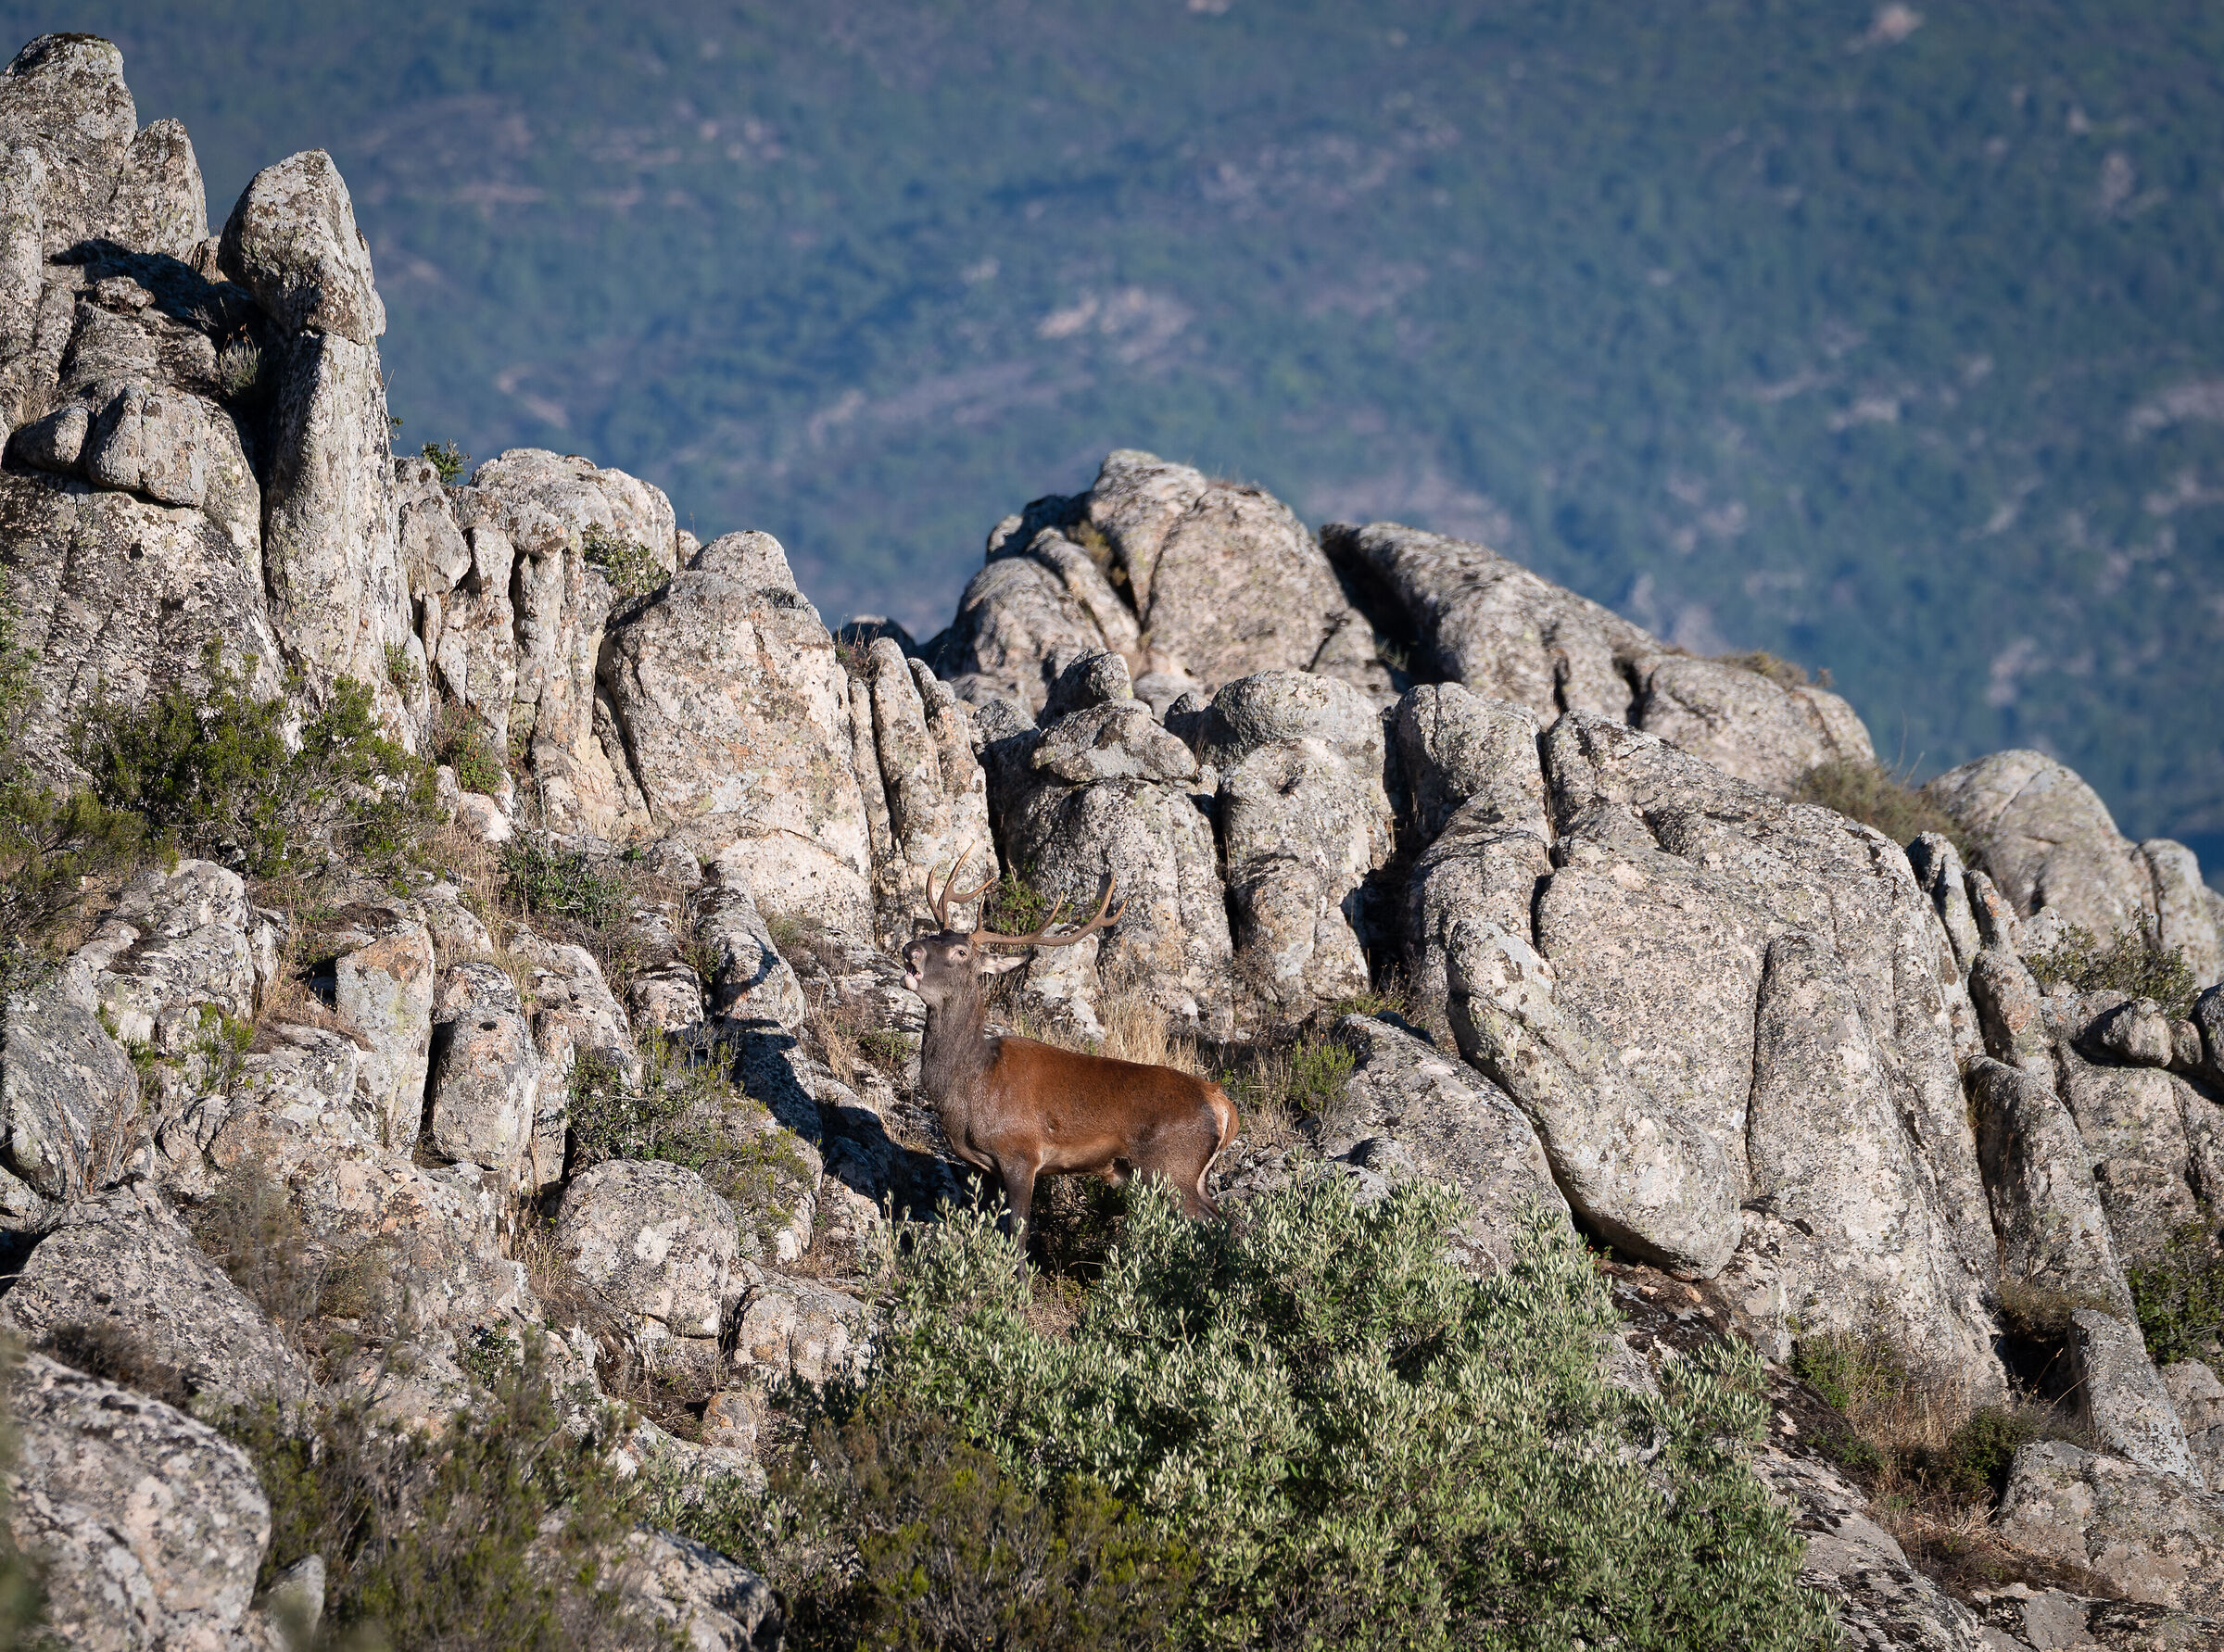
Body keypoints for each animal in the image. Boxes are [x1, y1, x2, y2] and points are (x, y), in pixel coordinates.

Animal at [899, 852, 1239, 1251]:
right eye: (933, 935)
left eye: (961, 951)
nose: (910, 949)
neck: (970, 1085)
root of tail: (1223, 1104)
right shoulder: (981, 1167)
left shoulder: (1021, 1153)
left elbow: (1018, 1235)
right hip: (1188, 1175)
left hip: (1172, 1167)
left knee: (1218, 1226)